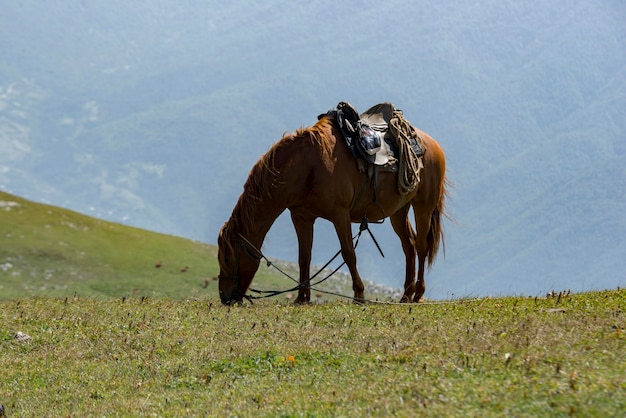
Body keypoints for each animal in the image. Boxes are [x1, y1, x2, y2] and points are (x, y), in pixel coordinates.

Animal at [217, 112, 446, 306]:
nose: (224, 297)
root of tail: (434, 144)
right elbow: (304, 257)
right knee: (409, 245)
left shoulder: (339, 215)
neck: (308, 167)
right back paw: (405, 296)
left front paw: (359, 295)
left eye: (227, 258)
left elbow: (348, 253)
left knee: (421, 246)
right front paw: (302, 297)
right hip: (399, 211)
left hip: (423, 207)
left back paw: (418, 294)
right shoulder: (301, 217)